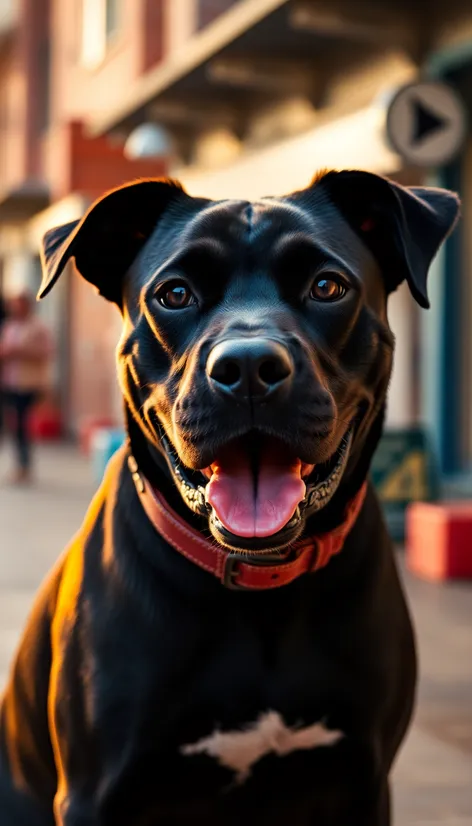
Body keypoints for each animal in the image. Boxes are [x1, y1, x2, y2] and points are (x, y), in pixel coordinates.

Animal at [0, 169, 458, 824]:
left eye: (327, 286)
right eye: (175, 294)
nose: (247, 366)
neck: (259, 584)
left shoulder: (364, 782)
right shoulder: (95, 792)